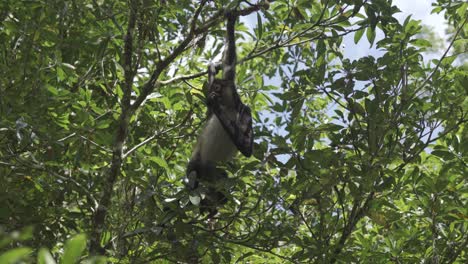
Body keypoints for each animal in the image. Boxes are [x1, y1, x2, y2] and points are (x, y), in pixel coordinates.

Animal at [186, 10, 254, 217]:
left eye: (217, 87)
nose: (211, 92)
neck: (230, 107)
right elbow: (229, 63)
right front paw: (230, 22)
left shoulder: (246, 111)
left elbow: (246, 148)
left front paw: (215, 103)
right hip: (198, 163)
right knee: (193, 171)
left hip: (214, 173)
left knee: (222, 181)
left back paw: (211, 204)